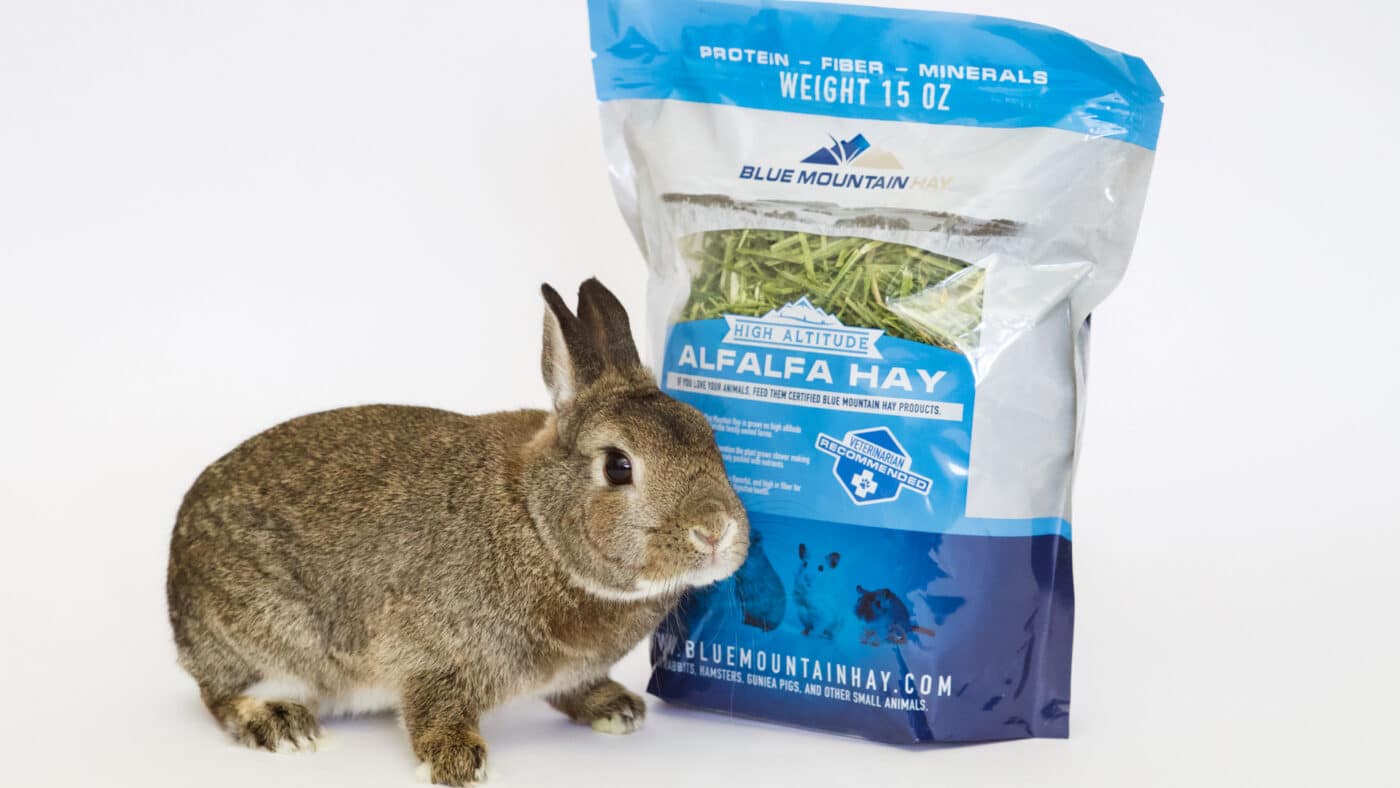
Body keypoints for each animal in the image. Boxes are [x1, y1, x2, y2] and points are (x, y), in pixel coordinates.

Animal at [166, 279, 749, 786]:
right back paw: (282, 725)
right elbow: (434, 707)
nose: (714, 531)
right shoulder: (429, 654)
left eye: (707, 433)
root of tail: (176, 571)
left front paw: (616, 709)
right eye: (618, 466)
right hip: (263, 634)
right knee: (222, 695)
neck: (536, 523)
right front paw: (457, 763)